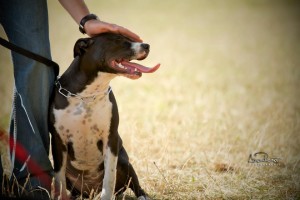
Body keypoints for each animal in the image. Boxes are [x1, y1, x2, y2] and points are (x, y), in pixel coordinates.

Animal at [49, 33, 161, 199]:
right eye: (118, 40)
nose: (146, 45)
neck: (88, 94)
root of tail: (91, 190)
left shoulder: (110, 138)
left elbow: (109, 178)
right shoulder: (58, 140)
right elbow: (59, 179)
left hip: (124, 162)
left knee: (134, 185)